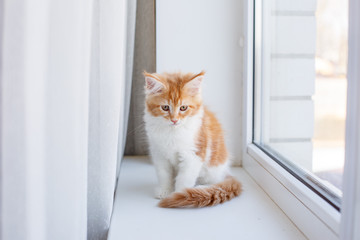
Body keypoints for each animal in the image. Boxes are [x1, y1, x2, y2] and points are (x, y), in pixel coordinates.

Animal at [143, 70, 242, 207]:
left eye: (183, 108)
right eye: (165, 107)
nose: (174, 120)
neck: (173, 132)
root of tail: (225, 171)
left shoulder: (193, 154)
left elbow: (184, 178)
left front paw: (179, 194)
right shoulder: (159, 154)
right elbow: (164, 175)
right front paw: (165, 191)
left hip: (211, 170)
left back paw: (201, 189)